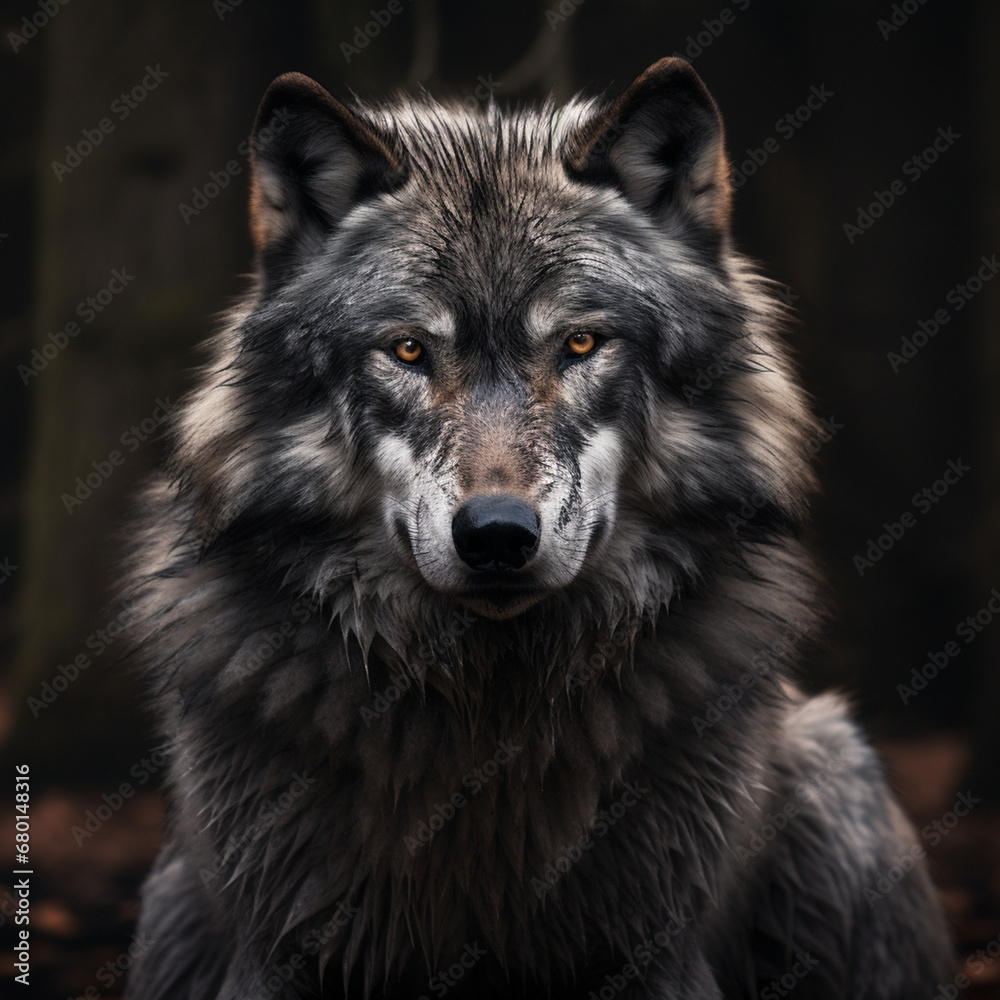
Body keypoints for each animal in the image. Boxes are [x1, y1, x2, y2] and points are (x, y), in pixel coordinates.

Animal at [123, 59, 953, 999]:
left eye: (582, 345)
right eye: (408, 351)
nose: (494, 535)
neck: (492, 711)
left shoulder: (657, 952)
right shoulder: (275, 953)